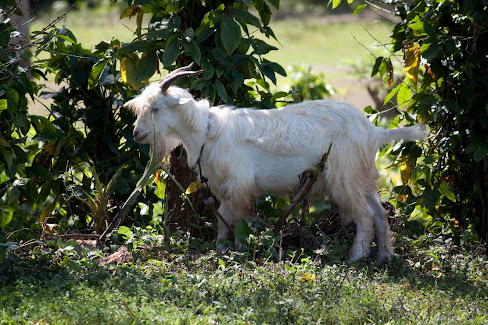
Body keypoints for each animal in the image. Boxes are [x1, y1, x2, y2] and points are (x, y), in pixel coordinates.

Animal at [125, 63, 428, 264]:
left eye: (155, 109)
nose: (137, 134)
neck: (207, 131)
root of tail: (373, 131)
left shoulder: (238, 185)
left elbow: (236, 220)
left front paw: (238, 251)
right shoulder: (224, 187)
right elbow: (223, 219)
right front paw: (220, 251)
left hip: (345, 176)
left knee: (364, 215)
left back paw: (355, 258)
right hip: (361, 177)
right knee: (380, 214)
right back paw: (384, 257)